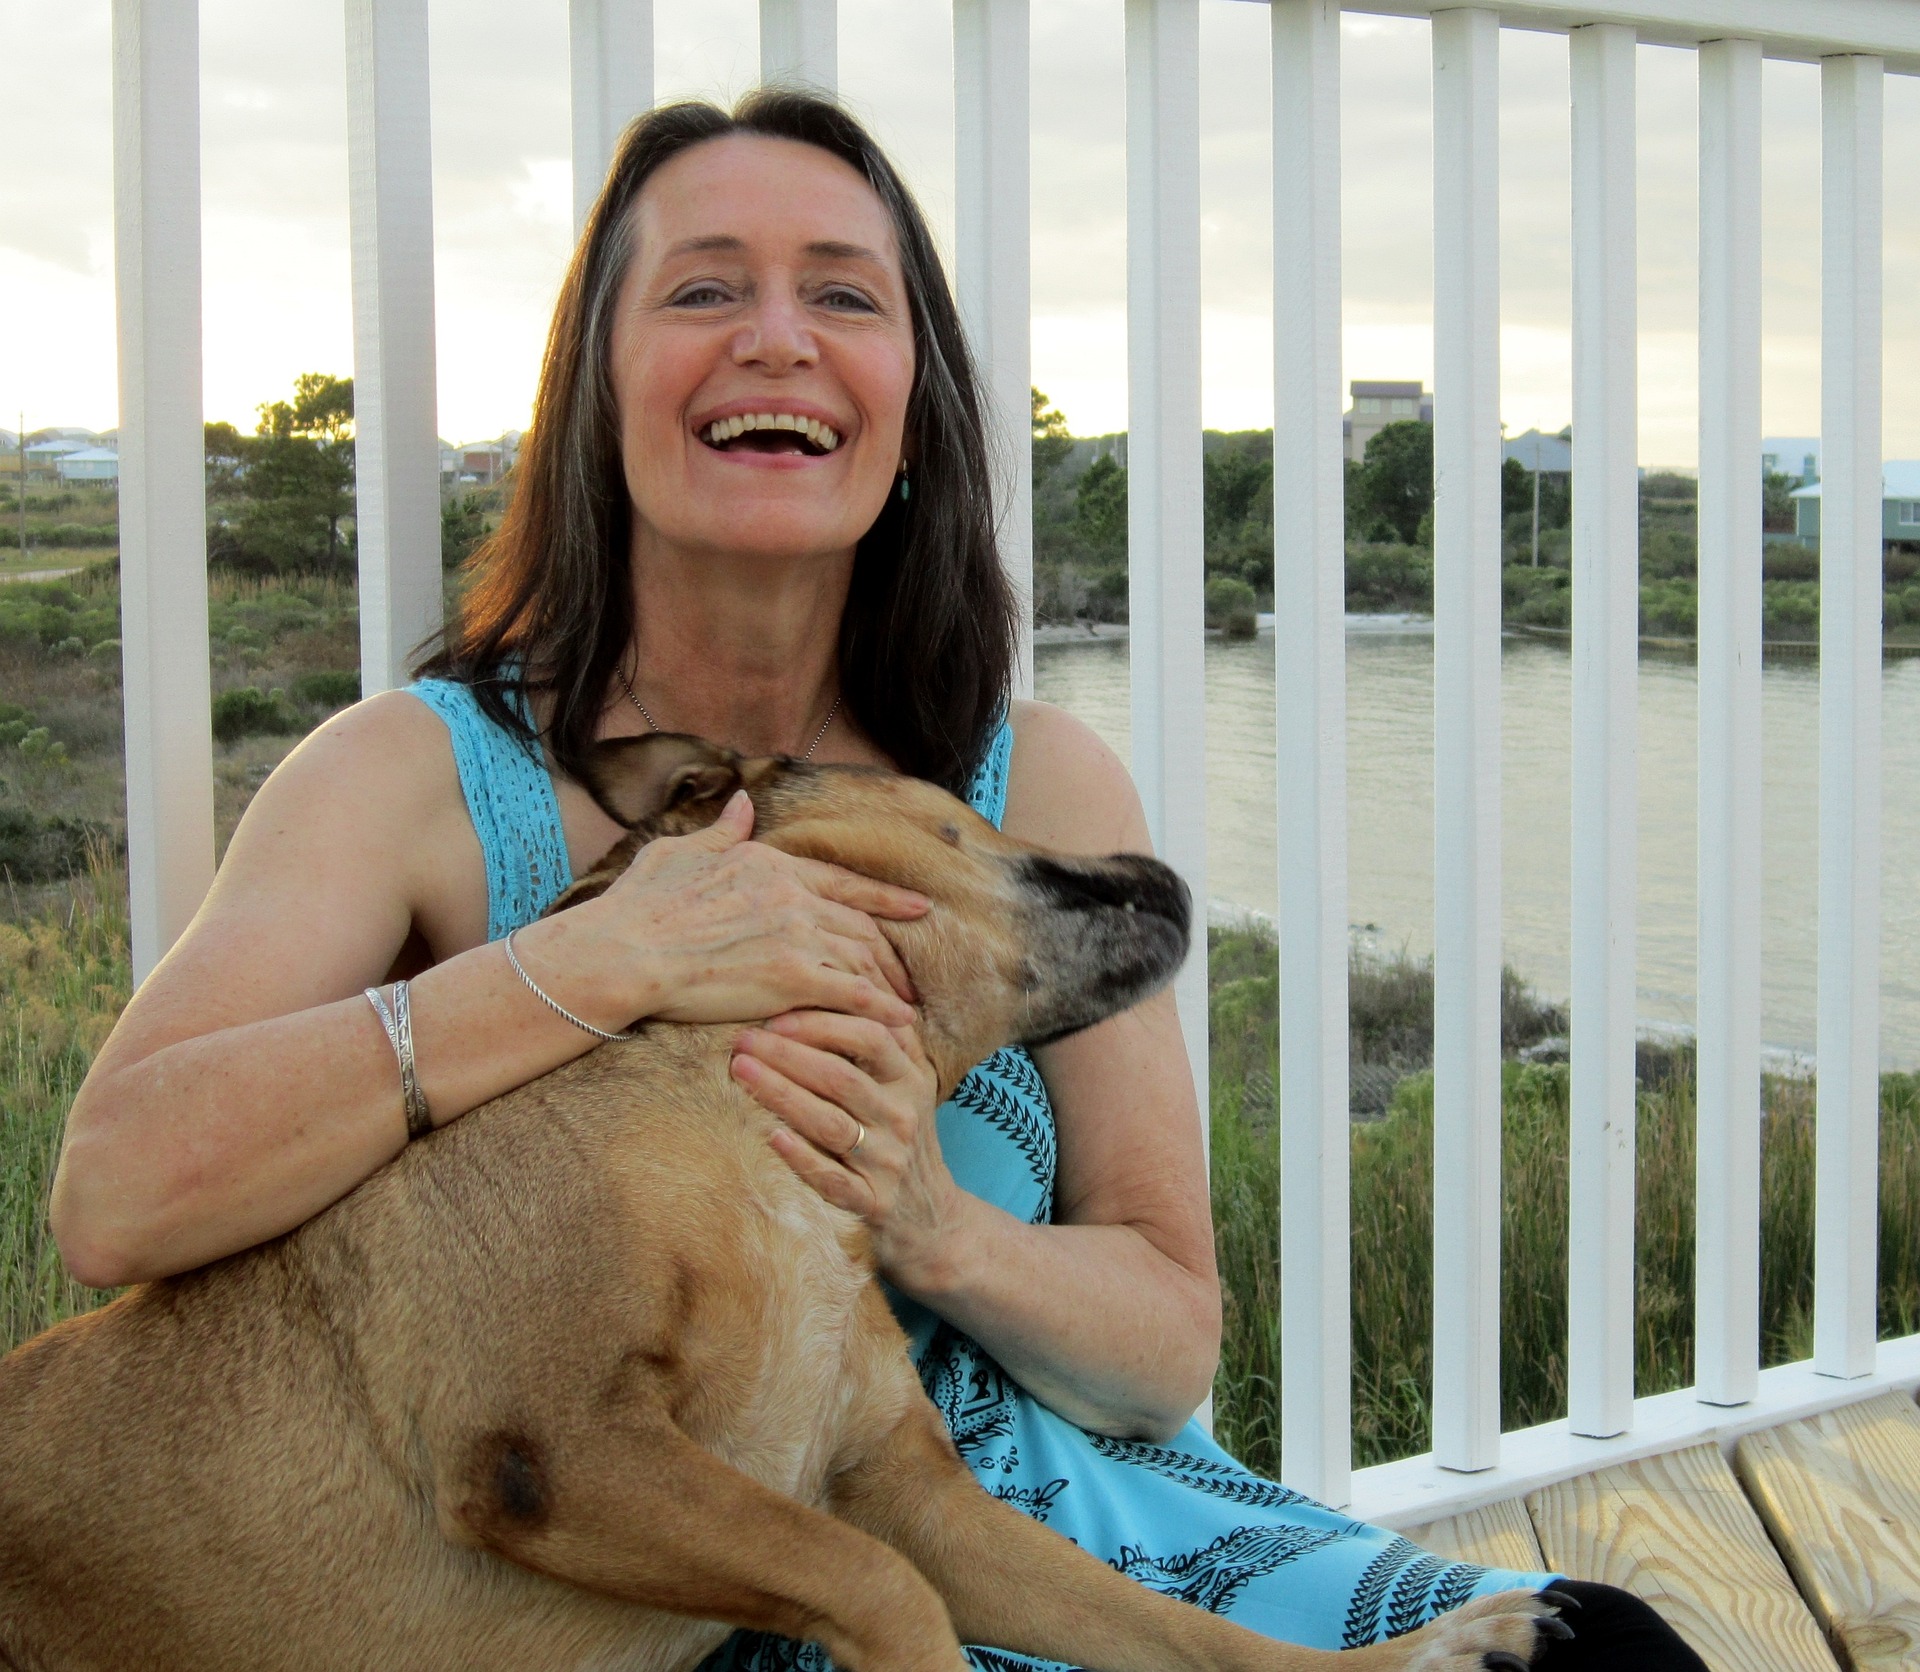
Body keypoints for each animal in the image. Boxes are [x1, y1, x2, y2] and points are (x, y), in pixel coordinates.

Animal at [0, 737, 1543, 1666]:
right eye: (960, 809)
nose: (1160, 859)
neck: (734, 1118)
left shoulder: (911, 1493)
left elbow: (1178, 1628)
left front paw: (1421, 1649)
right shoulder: (560, 1443)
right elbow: (885, 1593)